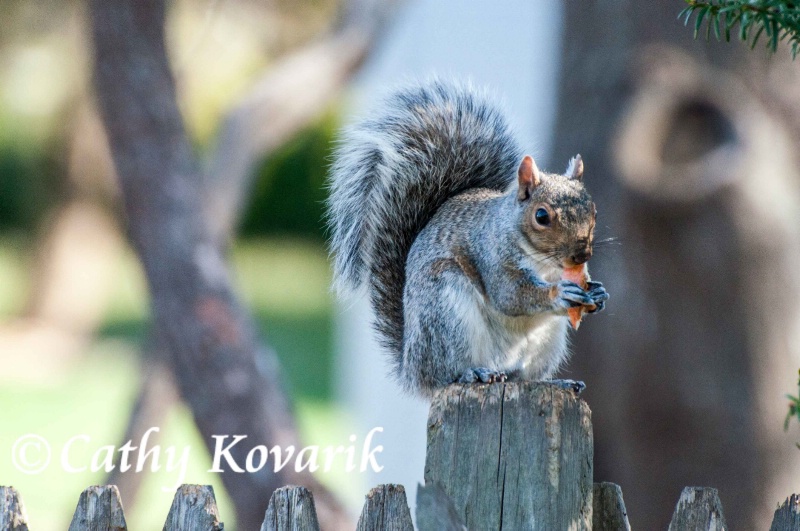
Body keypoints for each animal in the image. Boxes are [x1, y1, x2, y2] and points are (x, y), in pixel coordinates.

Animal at [324, 78, 608, 394]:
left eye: (594, 210)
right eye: (542, 216)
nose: (582, 255)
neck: (545, 264)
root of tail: (411, 367)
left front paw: (598, 294)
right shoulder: (492, 256)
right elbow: (510, 295)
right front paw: (559, 294)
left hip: (545, 343)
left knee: (520, 376)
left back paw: (555, 381)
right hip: (446, 311)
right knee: (444, 374)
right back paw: (473, 374)